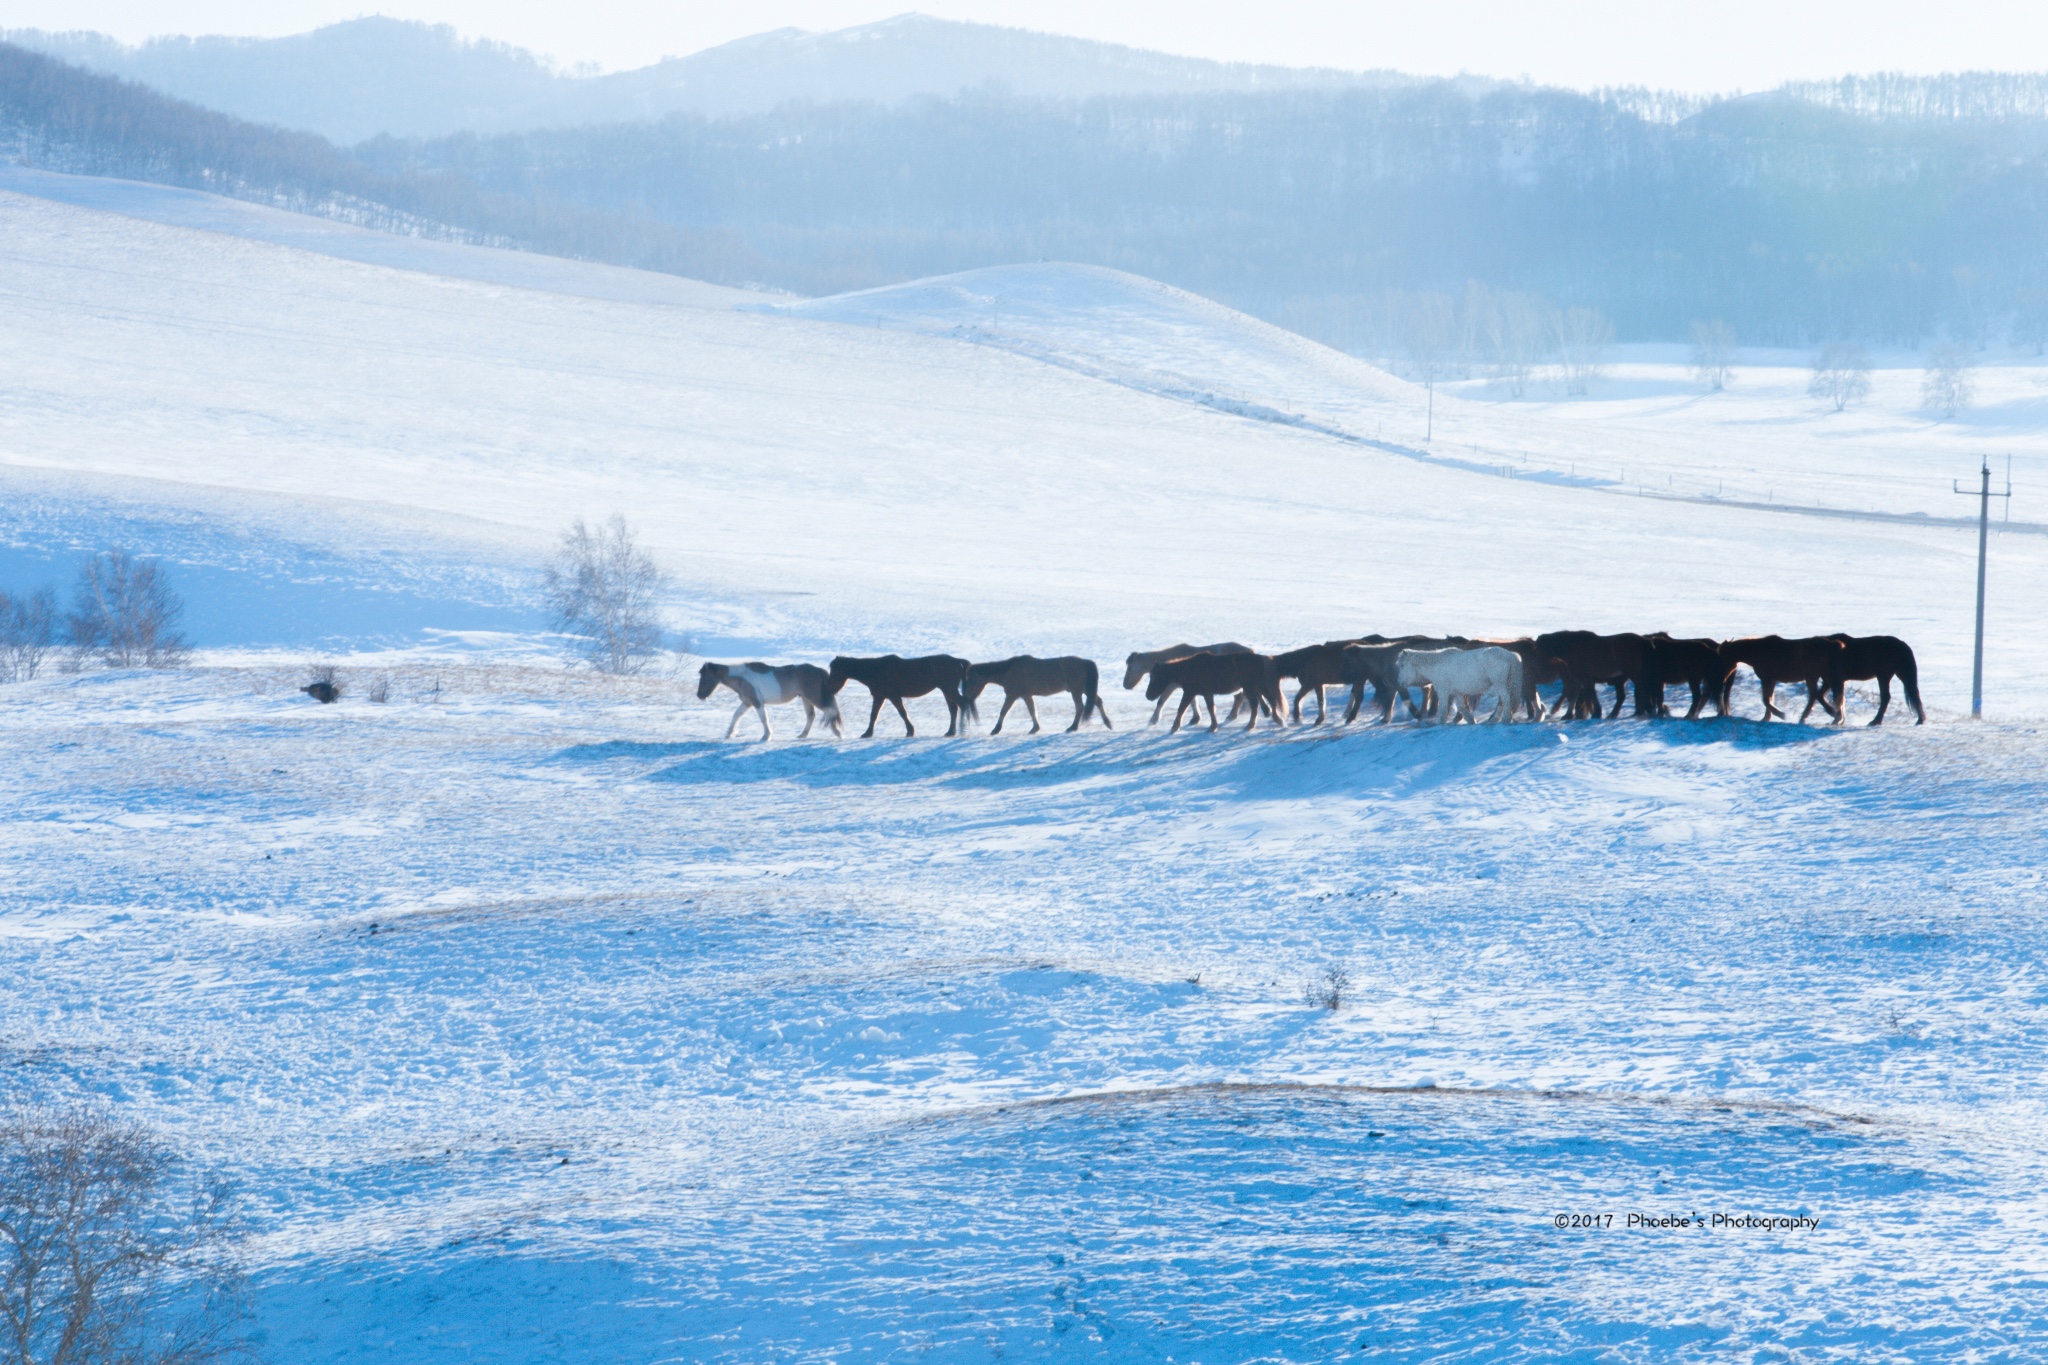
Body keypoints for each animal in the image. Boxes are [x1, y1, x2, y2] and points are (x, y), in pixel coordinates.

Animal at [696, 658, 839, 736]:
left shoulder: (757, 702)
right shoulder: (747, 702)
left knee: (829, 712)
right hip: (806, 699)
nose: (699, 695)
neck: (741, 677)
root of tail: (819, 670)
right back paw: (803, 735)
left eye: (704, 676)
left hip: (814, 698)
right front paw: (729, 733)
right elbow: (736, 715)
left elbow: (764, 719)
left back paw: (837, 733)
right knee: (813, 716)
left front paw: (766, 736)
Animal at [823, 654, 966, 736]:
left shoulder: (893, 696)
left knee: (963, 705)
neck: (876, 671)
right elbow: (873, 715)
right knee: (954, 709)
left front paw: (910, 731)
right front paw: (868, 733)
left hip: (949, 689)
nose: (828, 688)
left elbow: (902, 713)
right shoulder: (879, 696)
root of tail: (956, 661)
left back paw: (962, 728)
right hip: (946, 691)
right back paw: (951, 731)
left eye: (835, 672)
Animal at [966, 654, 1114, 732]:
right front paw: (1035, 728)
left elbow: (1004, 711)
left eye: (971, 680)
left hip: (1077, 691)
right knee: (1098, 702)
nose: (967, 697)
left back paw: (1073, 727)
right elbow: (1032, 711)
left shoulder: (1012, 695)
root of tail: (1084, 662)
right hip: (1084, 689)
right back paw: (1107, 723)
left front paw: (996, 729)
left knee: (1080, 707)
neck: (1010, 671)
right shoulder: (1026, 696)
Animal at [1138, 654, 1277, 732]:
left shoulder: (1189, 692)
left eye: (1154, 677)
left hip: (1249, 687)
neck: (1186, 670)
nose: (1148, 695)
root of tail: (1262, 660)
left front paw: (1174, 727)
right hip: (1252, 687)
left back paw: (1250, 724)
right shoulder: (1206, 693)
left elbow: (1181, 708)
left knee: (1254, 704)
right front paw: (1213, 726)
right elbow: (1211, 708)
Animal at [1392, 650, 1523, 724]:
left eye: (1402, 665)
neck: (1436, 665)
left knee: (1506, 699)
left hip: (1501, 684)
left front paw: (1441, 723)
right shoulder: (1457, 692)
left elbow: (1443, 711)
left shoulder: (1443, 692)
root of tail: (1512, 655)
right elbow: (1462, 708)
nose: (1399, 682)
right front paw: (1471, 721)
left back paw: (1505, 719)